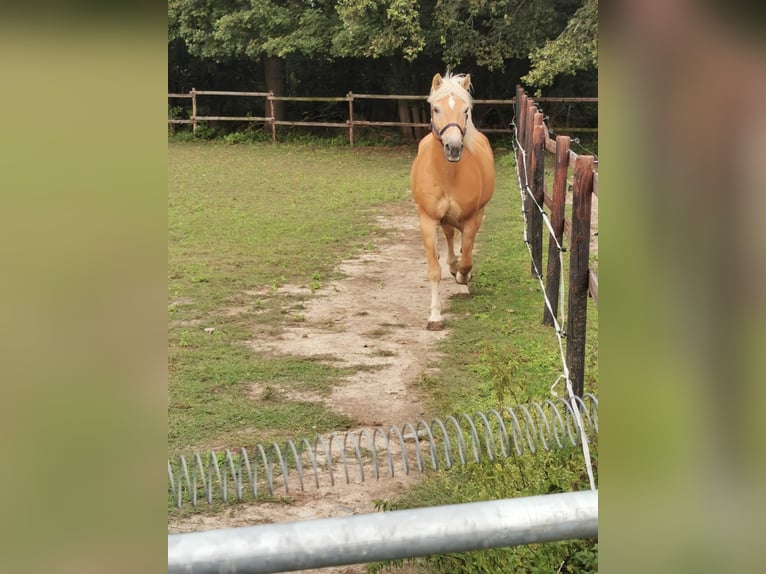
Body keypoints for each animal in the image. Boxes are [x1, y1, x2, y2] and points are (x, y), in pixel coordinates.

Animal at [412, 72, 496, 332]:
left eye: (465, 110)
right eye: (436, 109)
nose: (454, 147)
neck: (448, 174)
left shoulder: (471, 219)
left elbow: (467, 260)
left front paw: (463, 277)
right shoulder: (427, 221)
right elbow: (434, 270)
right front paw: (435, 317)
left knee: (464, 248)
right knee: (449, 237)